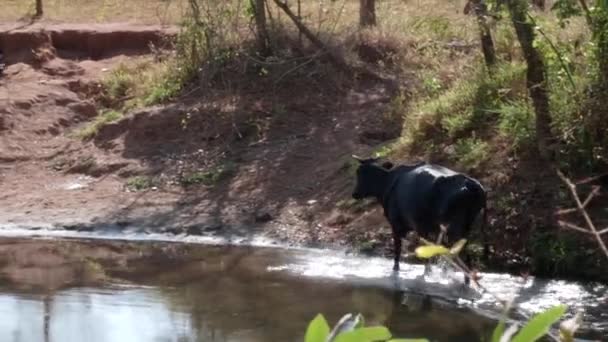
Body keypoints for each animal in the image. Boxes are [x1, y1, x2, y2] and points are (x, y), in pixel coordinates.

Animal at [350, 157, 486, 272]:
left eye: (361, 173)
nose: (355, 193)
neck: (388, 182)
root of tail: (470, 184)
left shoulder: (397, 224)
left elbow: (398, 249)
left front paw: (396, 268)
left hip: (453, 227)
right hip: (465, 227)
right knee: (465, 253)